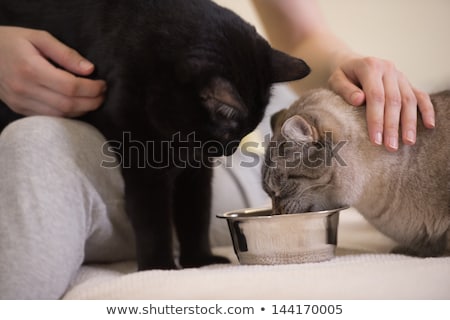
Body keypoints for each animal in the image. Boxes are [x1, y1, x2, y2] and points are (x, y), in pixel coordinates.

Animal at [0, 0, 310, 270]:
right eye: (229, 131)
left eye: (247, 130)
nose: (231, 149)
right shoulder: (144, 165)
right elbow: (152, 218)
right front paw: (159, 266)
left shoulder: (196, 170)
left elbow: (195, 213)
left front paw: (199, 260)